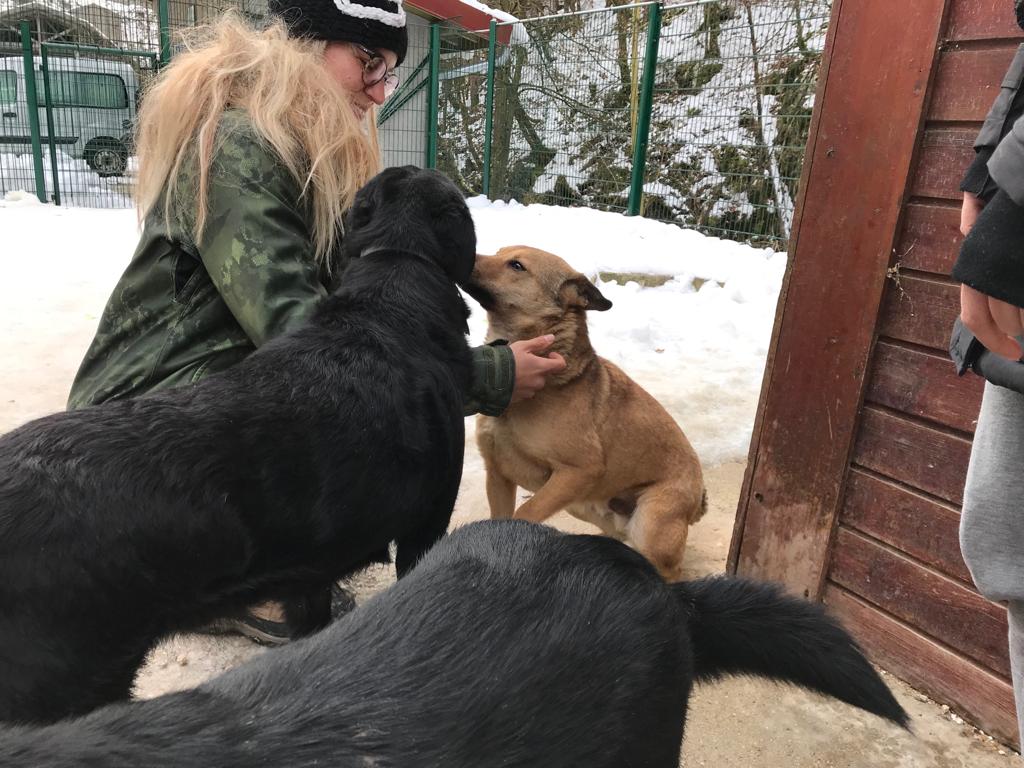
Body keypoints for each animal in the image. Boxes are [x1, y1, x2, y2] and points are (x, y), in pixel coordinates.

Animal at [464, 243, 704, 581]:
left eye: (516, 265)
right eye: (500, 252)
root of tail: (700, 492)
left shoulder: (580, 470)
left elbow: (525, 512)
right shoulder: (498, 475)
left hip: (650, 521)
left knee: (667, 569)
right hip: (584, 507)